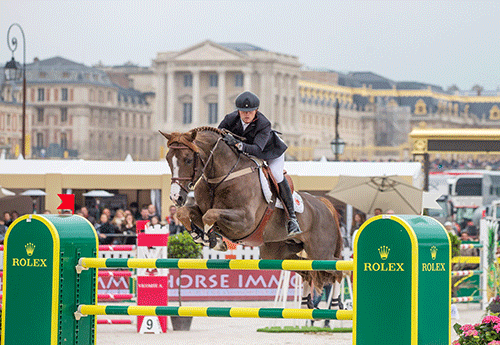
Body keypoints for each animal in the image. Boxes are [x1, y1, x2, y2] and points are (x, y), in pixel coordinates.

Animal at [160, 126, 344, 306]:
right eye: (168, 159)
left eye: (188, 160)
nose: (176, 197)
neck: (220, 179)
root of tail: (324, 204)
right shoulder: (201, 209)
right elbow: (184, 213)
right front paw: (201, 236)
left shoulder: (244, 221)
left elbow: (210, 216)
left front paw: (212, 239)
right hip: (277, 253)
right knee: (308, 272)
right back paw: (306, 304)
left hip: (320, 252)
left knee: (338, 270)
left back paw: (336, 303)